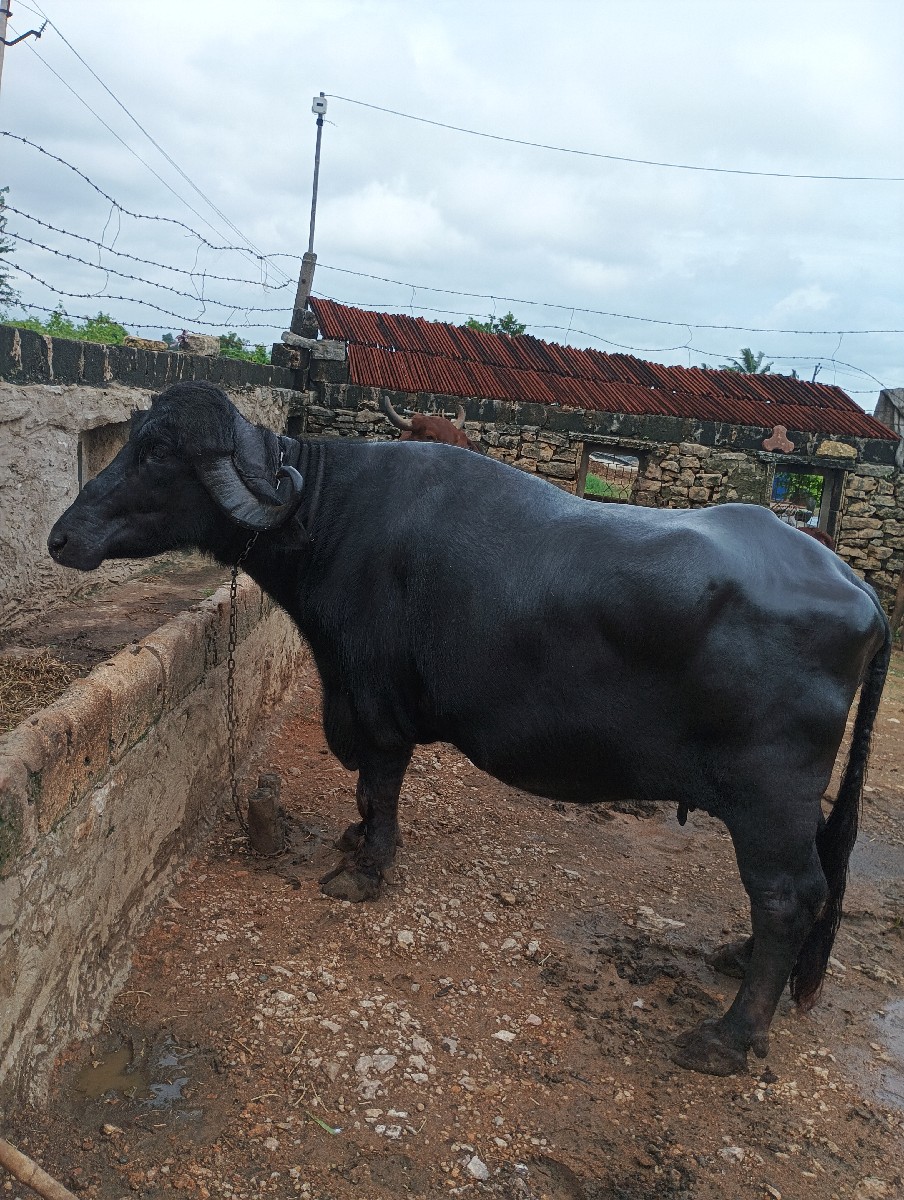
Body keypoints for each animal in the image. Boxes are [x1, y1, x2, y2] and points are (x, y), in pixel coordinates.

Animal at [47, 381, 890, 1078]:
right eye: (132, 437)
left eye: (159, 452)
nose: (61, 537)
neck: (328, 517)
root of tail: (857, 588)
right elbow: (363, 796)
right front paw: (352, 844)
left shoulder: (377, 712)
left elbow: (377, 789)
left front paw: (365, 867)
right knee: (804, 888)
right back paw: (737, 960)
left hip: (766, 795)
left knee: (786, 896)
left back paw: (729, 1036)